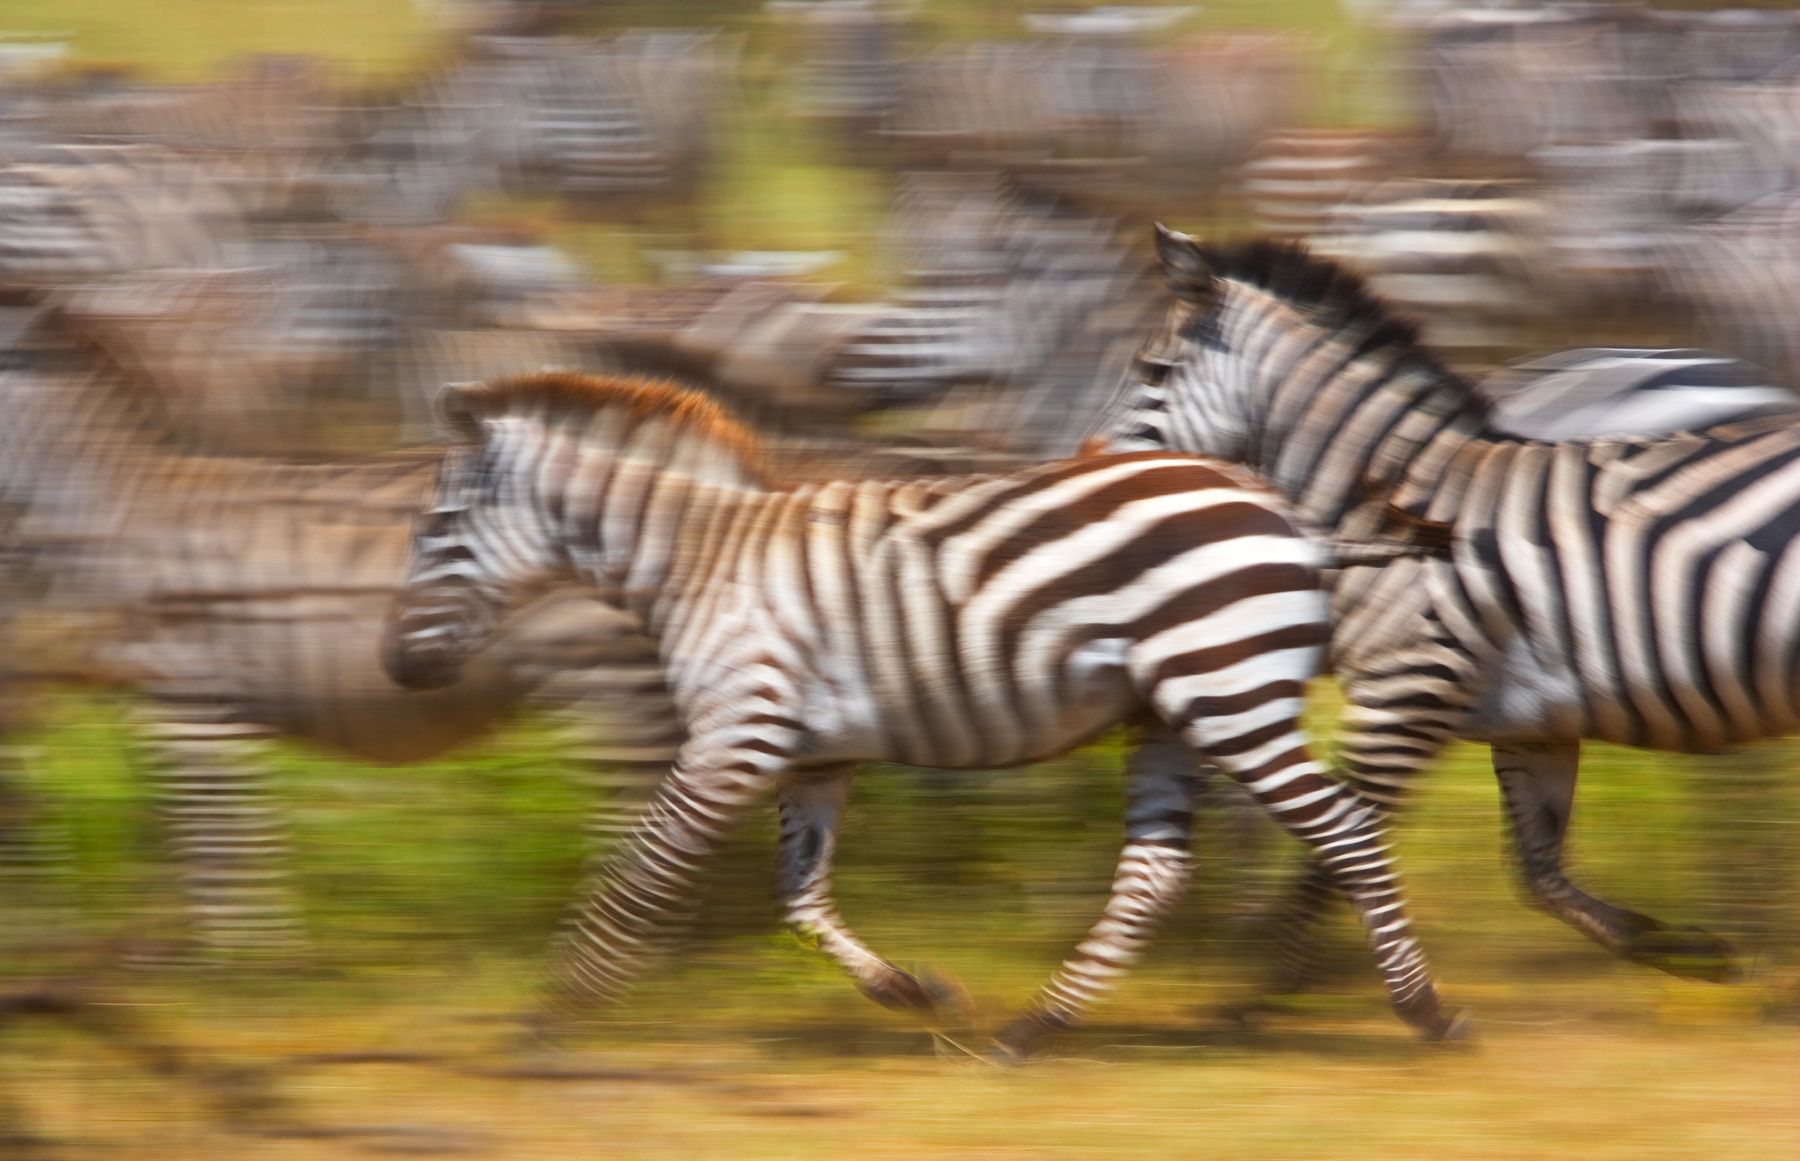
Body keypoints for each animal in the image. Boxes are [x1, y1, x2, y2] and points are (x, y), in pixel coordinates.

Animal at [380, 369, 1466, 1057]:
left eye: (439, 528)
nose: (397, 667)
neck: (701, 561)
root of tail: (1289, 513)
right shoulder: (812, 756)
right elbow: (801, 899)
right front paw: (915, 990)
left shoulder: (734, 736)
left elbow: (639, 875)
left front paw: (553, 1016)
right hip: (1171, 713)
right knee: (1155, 872)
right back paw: (1032, 1031)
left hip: (1230, 693)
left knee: (1348, 829)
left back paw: (1428, 1013)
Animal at [1092, 226, 1800, 990]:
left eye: (1154, 372)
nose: (1089, 472)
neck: (1396, 511)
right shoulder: (1530, 724)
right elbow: (1536, 870)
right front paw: (1678, 948)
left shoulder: (1404, 698)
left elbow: (1336, 857)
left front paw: (1265, 992)